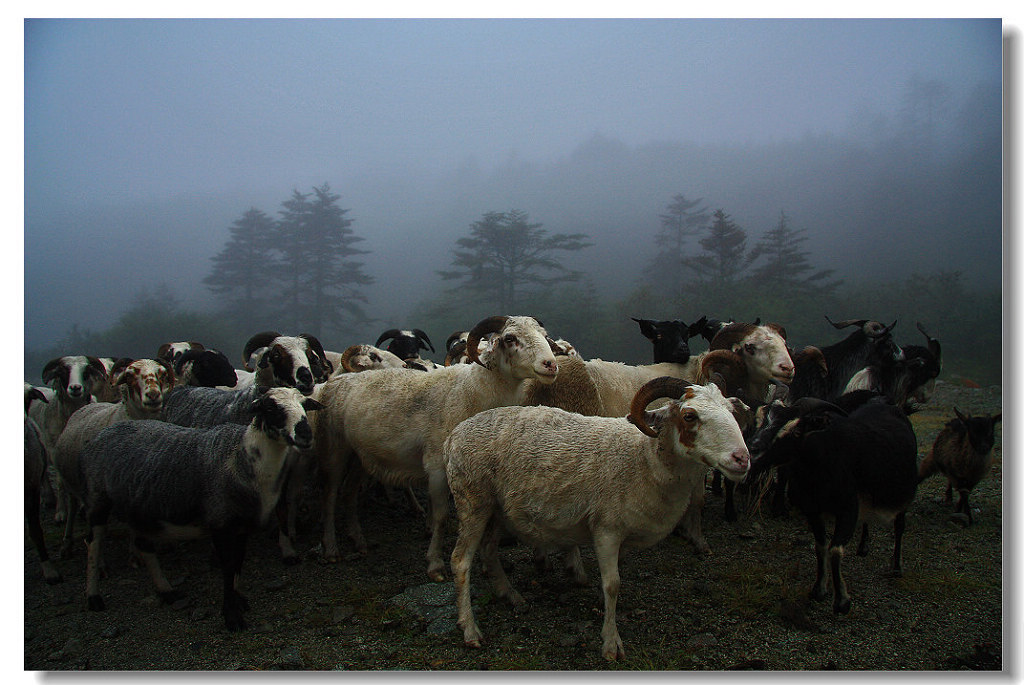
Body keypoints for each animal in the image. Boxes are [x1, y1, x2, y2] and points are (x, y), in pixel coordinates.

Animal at [79, 384, 323, 630]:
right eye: (271, 408)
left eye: (305, 405)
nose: (305, 434)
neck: (242, 458)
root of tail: (107, 431)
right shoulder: (220, 523)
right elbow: (228, 566)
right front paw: (231, 616)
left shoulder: (241, 526)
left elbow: (238, 563)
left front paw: (238, 600)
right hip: (99, 498)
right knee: (93, 543)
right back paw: (93, 596)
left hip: (140, 507)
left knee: (143, 544)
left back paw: (166, 590)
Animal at [309, 313, 561, 573]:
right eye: (510, 338)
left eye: (544, 335)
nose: (551, 365)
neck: (470, 392)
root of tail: (335, 381)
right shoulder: (437, 467)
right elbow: (441, 517)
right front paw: (435, 563)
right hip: (333, 448)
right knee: (329, 496)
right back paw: (331, 549)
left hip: (360, 455)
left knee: (349, 493)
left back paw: (359, 541)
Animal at [444, 376, 749, 659]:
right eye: (689, 416)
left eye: (731, 412)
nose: (742, 459)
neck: (643, 459)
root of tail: (453, 435)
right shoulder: (606, 528)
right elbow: (612, 584)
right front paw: (611, 643)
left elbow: (615, 578)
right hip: (472, 501)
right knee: (460, 561)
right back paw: (470, 630)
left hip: (498, 510)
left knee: (489, 550)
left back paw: (510, 595)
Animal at [745, 389, 921, 614]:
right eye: (759, 421)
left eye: (797, 430)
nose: (753, 451)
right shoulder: (812, 509)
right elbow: (821, 546)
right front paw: (819, 589)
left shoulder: (848, 508)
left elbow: (835, 550)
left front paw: (842, 602)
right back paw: (863, 547)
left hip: (903, 493)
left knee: (899, 526)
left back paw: (897, 567)